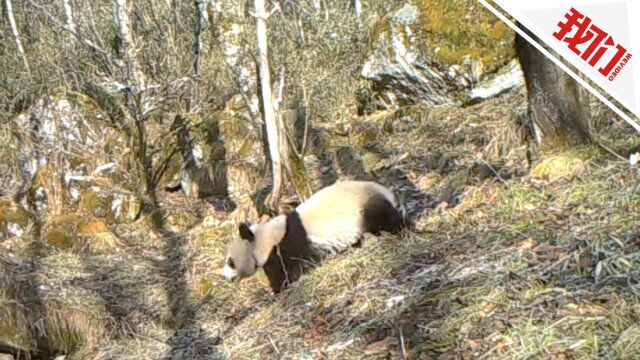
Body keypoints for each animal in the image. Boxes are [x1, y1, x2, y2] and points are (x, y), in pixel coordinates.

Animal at [218, 180, 402, 292]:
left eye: (231, 262)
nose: (223, 276)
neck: (267, 237)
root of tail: (387, 192)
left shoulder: (290, 244)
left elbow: (292, 267)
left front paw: (279, 287)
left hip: (364, 205)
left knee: (383, 218)